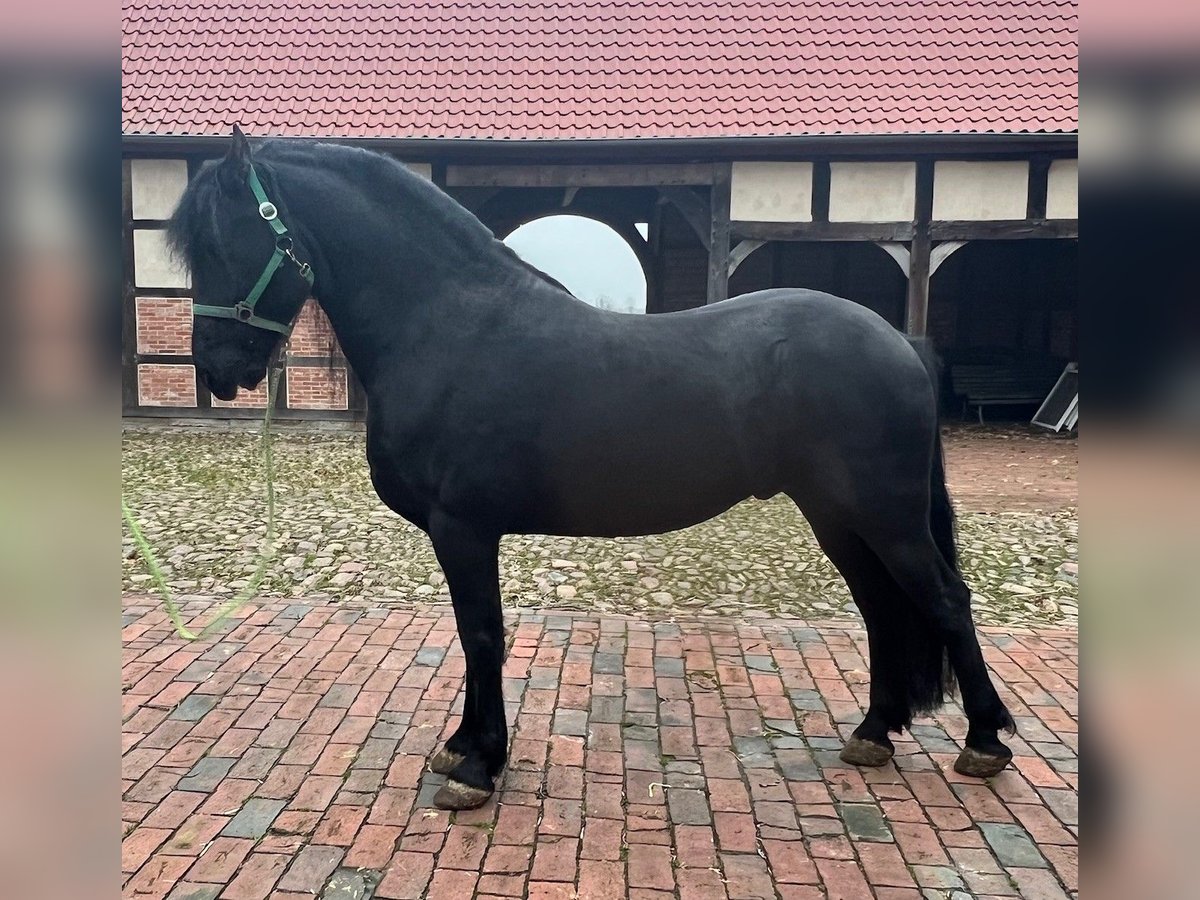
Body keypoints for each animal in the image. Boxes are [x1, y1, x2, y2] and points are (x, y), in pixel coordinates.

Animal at [169, 130, 1012, 816]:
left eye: (224, 241)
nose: (217, 370)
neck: (447, 325)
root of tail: (900, 341)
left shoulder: (463, 527)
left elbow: (481, 633)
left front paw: (477, 768)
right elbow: (476, 636)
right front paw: (464, 746)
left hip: (886, 516)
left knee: (943, 599)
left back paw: (985, 742)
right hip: (839, 516)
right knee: (881, 608)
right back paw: (874, 731)